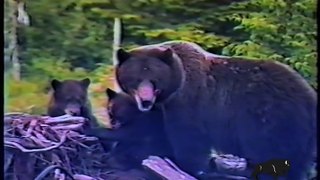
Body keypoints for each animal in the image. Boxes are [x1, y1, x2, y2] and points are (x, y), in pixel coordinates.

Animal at [114, 41, 316, 180]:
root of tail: (309, 95)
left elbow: (189, 140)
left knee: (270, 153)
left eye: (154, 80)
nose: (146, 100)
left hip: (269, 118)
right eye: (136, 79)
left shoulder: (187, 104)